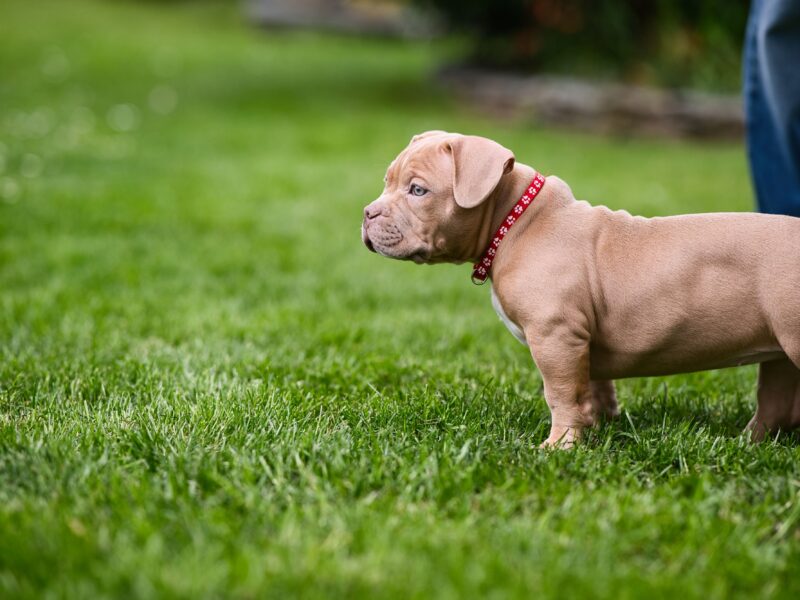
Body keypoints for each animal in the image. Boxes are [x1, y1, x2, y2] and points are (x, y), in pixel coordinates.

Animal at [362, 132, 800, 450]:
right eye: (386, 182)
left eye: (418, 191)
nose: (367, 213)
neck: (515, 222)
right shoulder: (582, 339)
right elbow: (591, 387)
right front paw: (598, 427)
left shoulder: (555, 336)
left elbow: (560, 394)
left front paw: (559, 446)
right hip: (778, 352)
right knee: (777, 402)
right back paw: (748, 442)